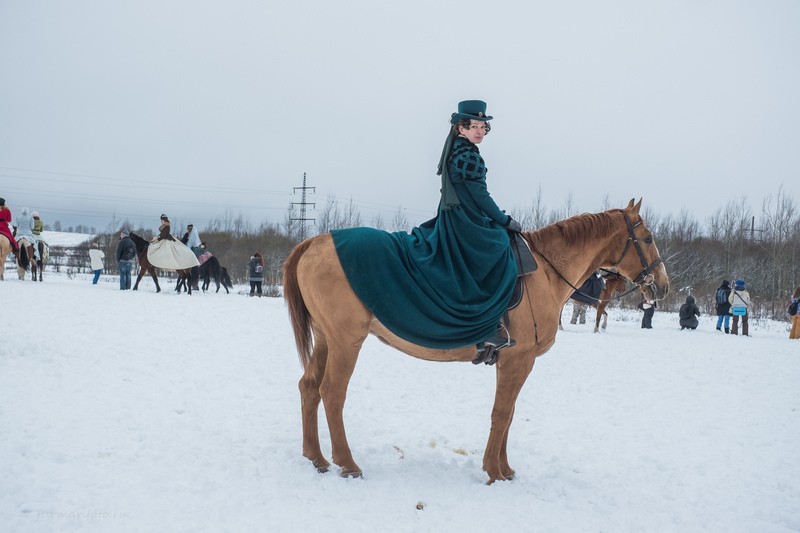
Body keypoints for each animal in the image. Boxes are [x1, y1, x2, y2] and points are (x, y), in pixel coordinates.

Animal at [282, 198, 668, 482]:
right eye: (648, 239)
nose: (662, 286)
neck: (545, 272)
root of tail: (315, 241)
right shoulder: (518, 359)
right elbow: (502, 412)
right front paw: (494, 471)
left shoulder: (512, 362)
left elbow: (509, 414)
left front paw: (505, 469)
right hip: (346, 341)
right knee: (332, 392)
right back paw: (347, 463)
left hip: (326, 339)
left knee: (309, 387)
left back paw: (316, 458)